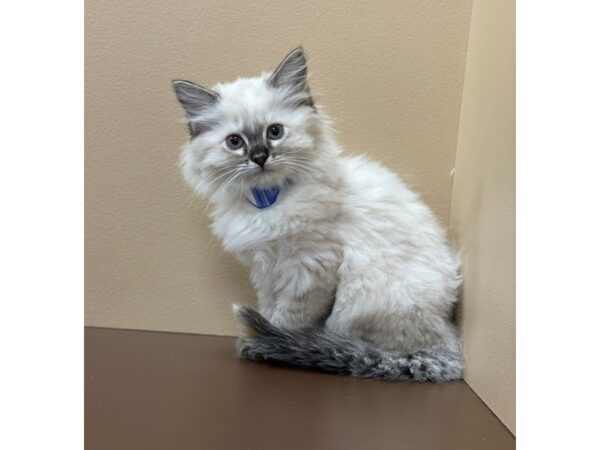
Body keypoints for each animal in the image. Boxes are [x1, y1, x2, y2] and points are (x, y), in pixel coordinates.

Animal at [173, 48, 464, 380]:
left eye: (274, 132)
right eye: (235, 142)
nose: (260, 157)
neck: (269, 202)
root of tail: (449, 345)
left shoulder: (310, 269)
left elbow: (287, 321)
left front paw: (265, 343)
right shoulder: (266, 271)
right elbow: (269, 309)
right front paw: (255, 340)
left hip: (361, 298)